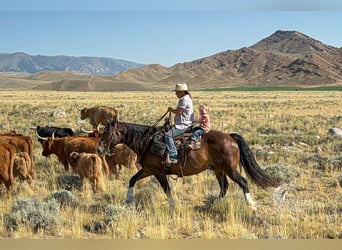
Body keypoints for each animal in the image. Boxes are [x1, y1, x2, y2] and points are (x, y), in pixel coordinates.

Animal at [97, 119, 278, 211]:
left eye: (107, 133)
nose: (99, 149)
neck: (147, 142)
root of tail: (230, 137)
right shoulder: (148, 170)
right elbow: (132, 179)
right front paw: (128, 199)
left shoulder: (158, 172)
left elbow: (166, 189)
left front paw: (172, 206)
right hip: (219, 170)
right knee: (224, 187)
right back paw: (211, 204)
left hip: (230, 169)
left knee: (243, 182)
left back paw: (251, 204)